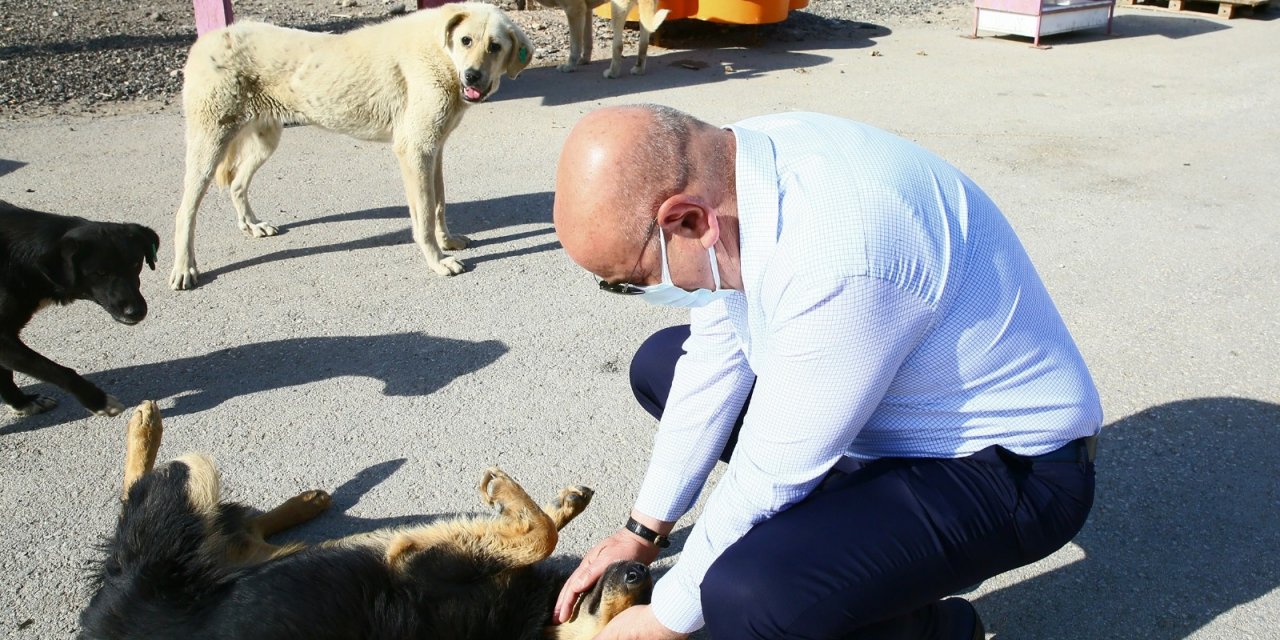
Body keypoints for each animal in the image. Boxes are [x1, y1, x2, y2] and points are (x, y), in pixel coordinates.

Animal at [82, 401, 650, 637]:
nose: (639, 571)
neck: (529, 628)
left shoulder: (416, 559)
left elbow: (536, 537)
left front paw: (517, 500)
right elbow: (540, 533)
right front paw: (549, 502)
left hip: (175, 534)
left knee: (172, 501)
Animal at [168, 3, 529, 289]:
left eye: (495, 46)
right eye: (466, 40)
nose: (472, 76)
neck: (441, 53)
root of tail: (208, 38)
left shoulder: (434, 149)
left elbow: (439, 205)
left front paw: (447, 242)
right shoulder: (415, 151)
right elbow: (425, 216)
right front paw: (436, 260)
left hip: (265, 140)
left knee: (237, 183)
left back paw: (252, 225)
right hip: (209, 143)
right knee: (185, 210)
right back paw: (185, 268)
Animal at [517, 0, 665, 78]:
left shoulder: (574, 10)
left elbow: (575, 45)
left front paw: (570, 66)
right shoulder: (586, 11)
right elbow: (587, 40)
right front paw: (585, 60)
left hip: (618, 8)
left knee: (618, 46)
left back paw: (612, 73)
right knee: (643, 43)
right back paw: (638, 68)